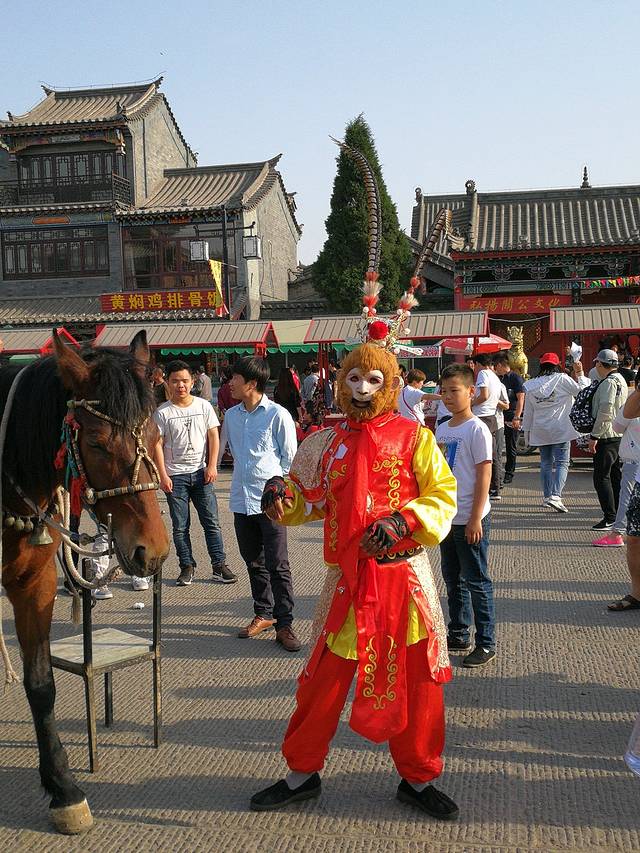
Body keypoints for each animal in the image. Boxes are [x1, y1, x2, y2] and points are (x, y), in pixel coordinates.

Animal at [0, 330, 169, 834]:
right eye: (95, 442)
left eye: (155, 435)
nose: (152, 549)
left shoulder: (33, 584)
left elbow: (42, 684)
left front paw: (63, 788)